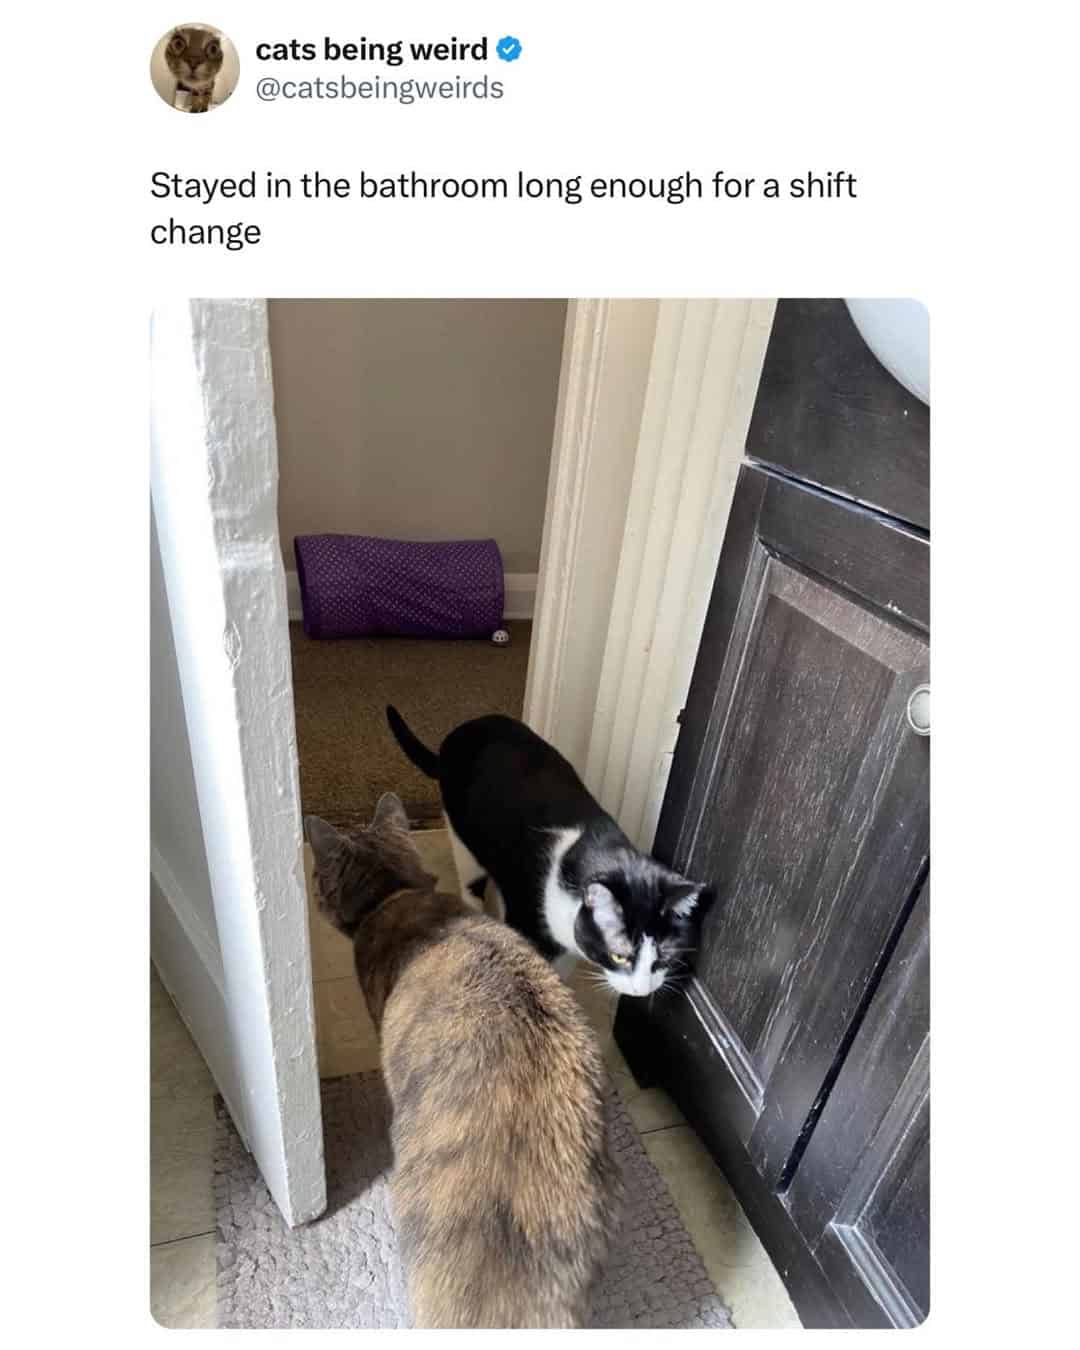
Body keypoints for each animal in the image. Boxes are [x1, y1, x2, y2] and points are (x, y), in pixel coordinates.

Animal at [386, 706, 709, 997]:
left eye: (666, 956)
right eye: (620, 955)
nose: (643, 990)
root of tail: (457, 735)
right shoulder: (529, 920)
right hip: (463, 842)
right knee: (471, 883)